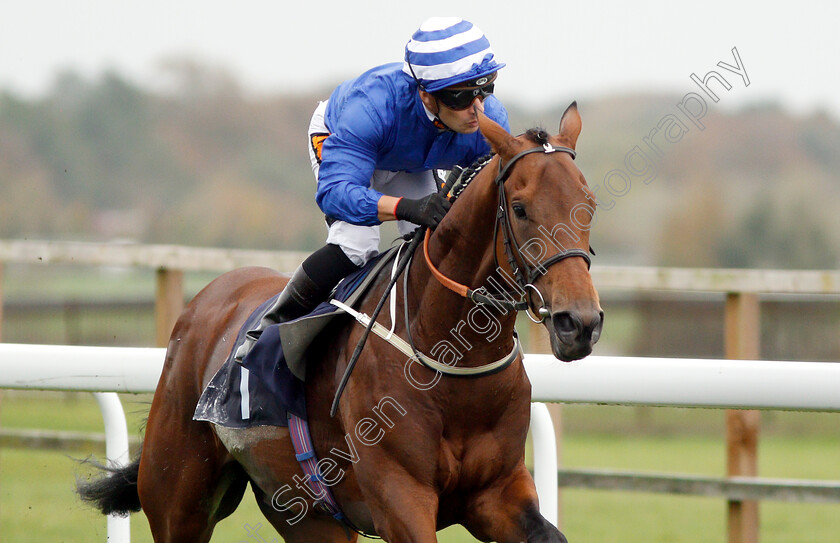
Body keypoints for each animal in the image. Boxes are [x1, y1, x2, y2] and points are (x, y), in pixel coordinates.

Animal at [79, 103, 600, 543]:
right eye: (521, 209)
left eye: (589, 204)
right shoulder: (400, 497)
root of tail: (207, 299)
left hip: (306, 514)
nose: (579, 323)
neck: (451, 358)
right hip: (179, 500)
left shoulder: (497, 492)